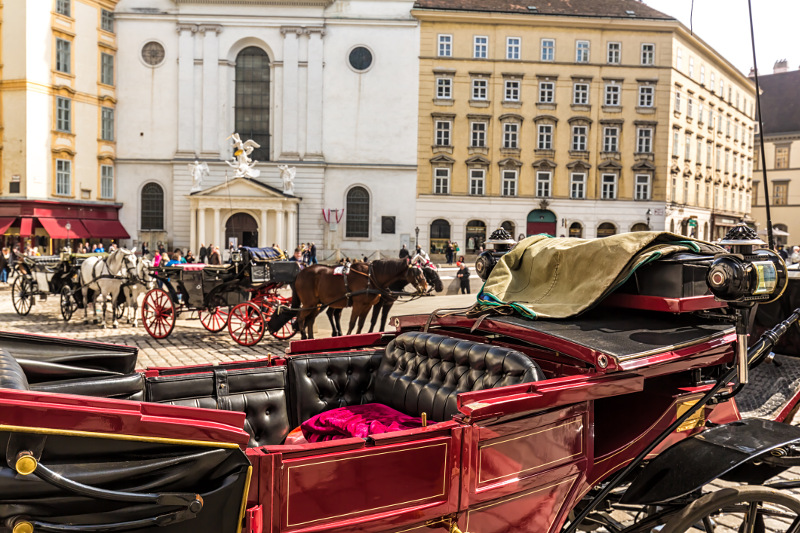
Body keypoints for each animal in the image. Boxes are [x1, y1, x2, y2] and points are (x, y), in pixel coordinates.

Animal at [294, 260, 428, 338]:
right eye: (417, 272)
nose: (425, 287)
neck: (371, 277)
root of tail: (300, 272)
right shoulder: (358, 304)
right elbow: (352, 323)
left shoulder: (367, 305)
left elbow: (361, 323)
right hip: (309, 303)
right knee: (301, 318)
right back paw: (304, 337)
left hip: (317, 304)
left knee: (310, 320)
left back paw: (310, 339)